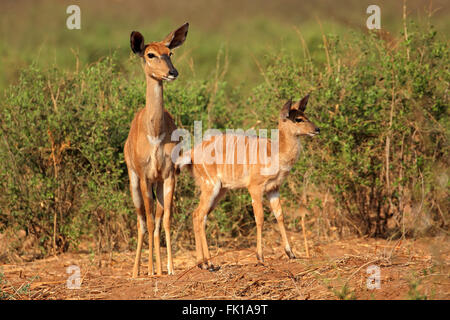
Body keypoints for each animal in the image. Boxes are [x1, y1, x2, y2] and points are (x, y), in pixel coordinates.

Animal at [124, 22, 189, 278]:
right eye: (150, 54)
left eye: (169, 52)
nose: (172, 72)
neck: (155, 133)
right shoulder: (144, 177)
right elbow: (149, 221)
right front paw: (150, 270)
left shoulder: (169, 175)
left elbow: (166, 220)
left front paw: (169, 268)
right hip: (134, 184)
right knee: (142, 221)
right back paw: (138, 271)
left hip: (158, 185)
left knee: (157, 221)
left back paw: (159, 267)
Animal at [178, 95, 318, 270]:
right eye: (298, 119)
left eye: (306, 115)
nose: (317, 129)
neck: (276, 152)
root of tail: (191, 154)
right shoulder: (255, 187)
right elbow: (260, 218)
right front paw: (260, 257)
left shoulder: (274, 188)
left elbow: (280, 215)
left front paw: (291, 253)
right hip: (210, 185)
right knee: (198, 214)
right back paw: (209, 264)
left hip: (220, 190)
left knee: (199, 216)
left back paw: (202, 263)